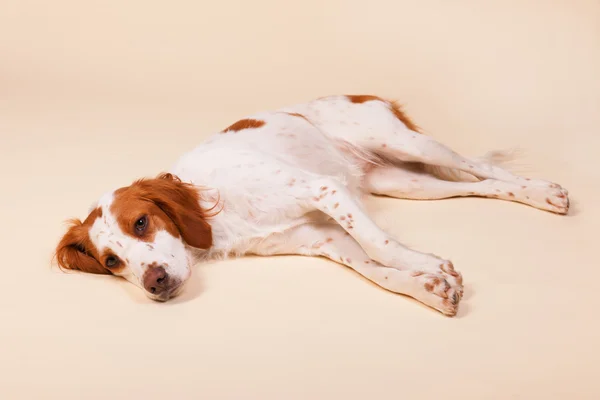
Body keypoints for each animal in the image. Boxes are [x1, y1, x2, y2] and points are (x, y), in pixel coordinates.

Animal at [52, 94, 568, 316]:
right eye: (112, 262)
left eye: (141, 222)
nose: (154, 283)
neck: (218, 207)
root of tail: (366, 93)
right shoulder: (322, 238)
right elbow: (376, 271)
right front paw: (428, 287)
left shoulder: (322, 190)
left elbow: (380, 244)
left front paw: (425, 263)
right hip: (405, 183)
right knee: (478, 184)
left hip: (408, 144)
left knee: (484, 167)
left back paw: (545, 191)